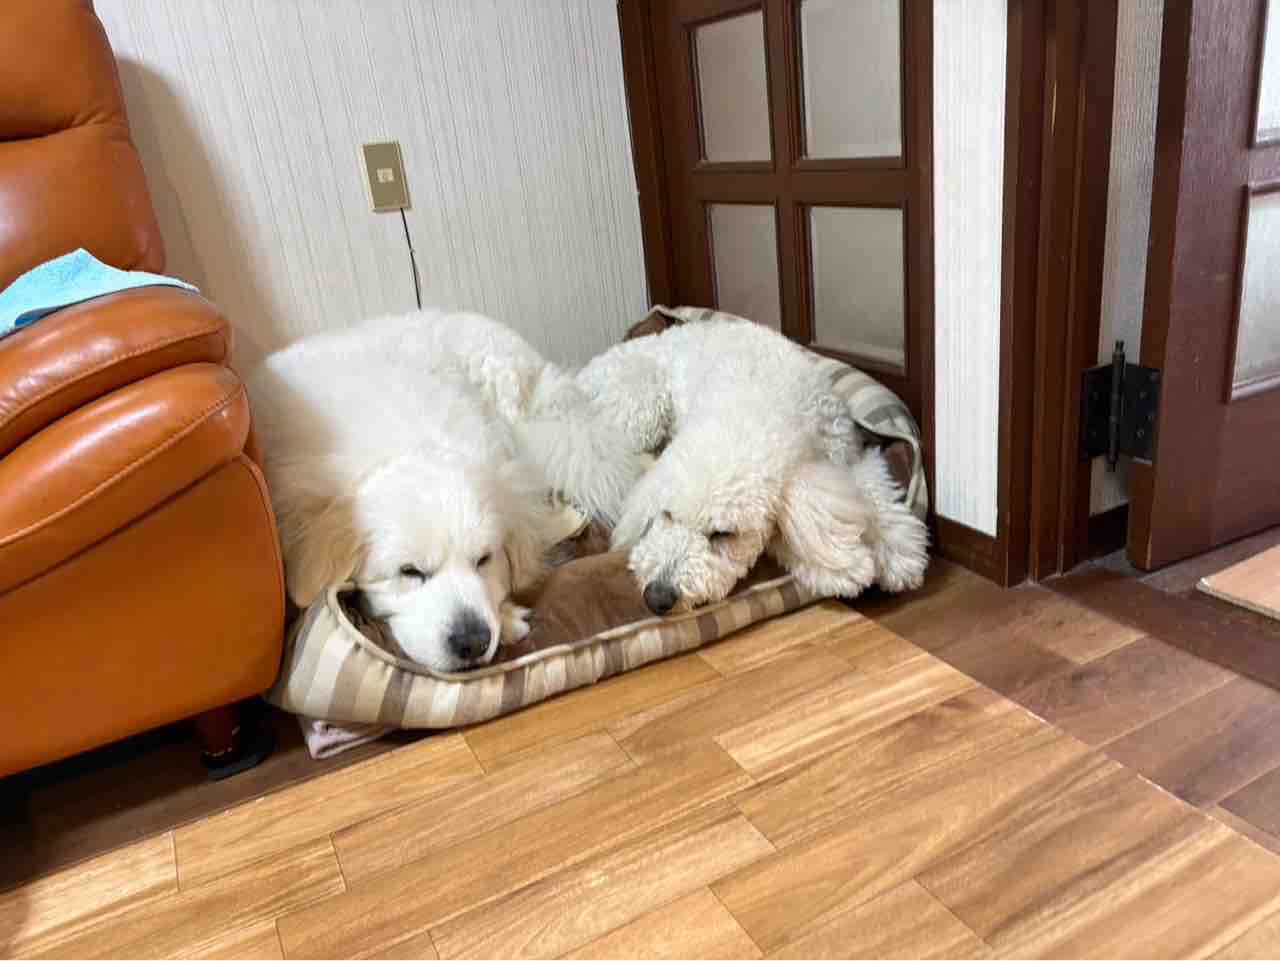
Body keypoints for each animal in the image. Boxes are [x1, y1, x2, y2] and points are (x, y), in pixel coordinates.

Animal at [576, 318, 929, 614]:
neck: (752, 402)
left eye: (722, 534)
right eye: (667, 515)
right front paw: (842, 568)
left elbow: (871, 488)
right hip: (640, 407)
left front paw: (899, 553)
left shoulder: (846, 452)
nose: (657, 598)